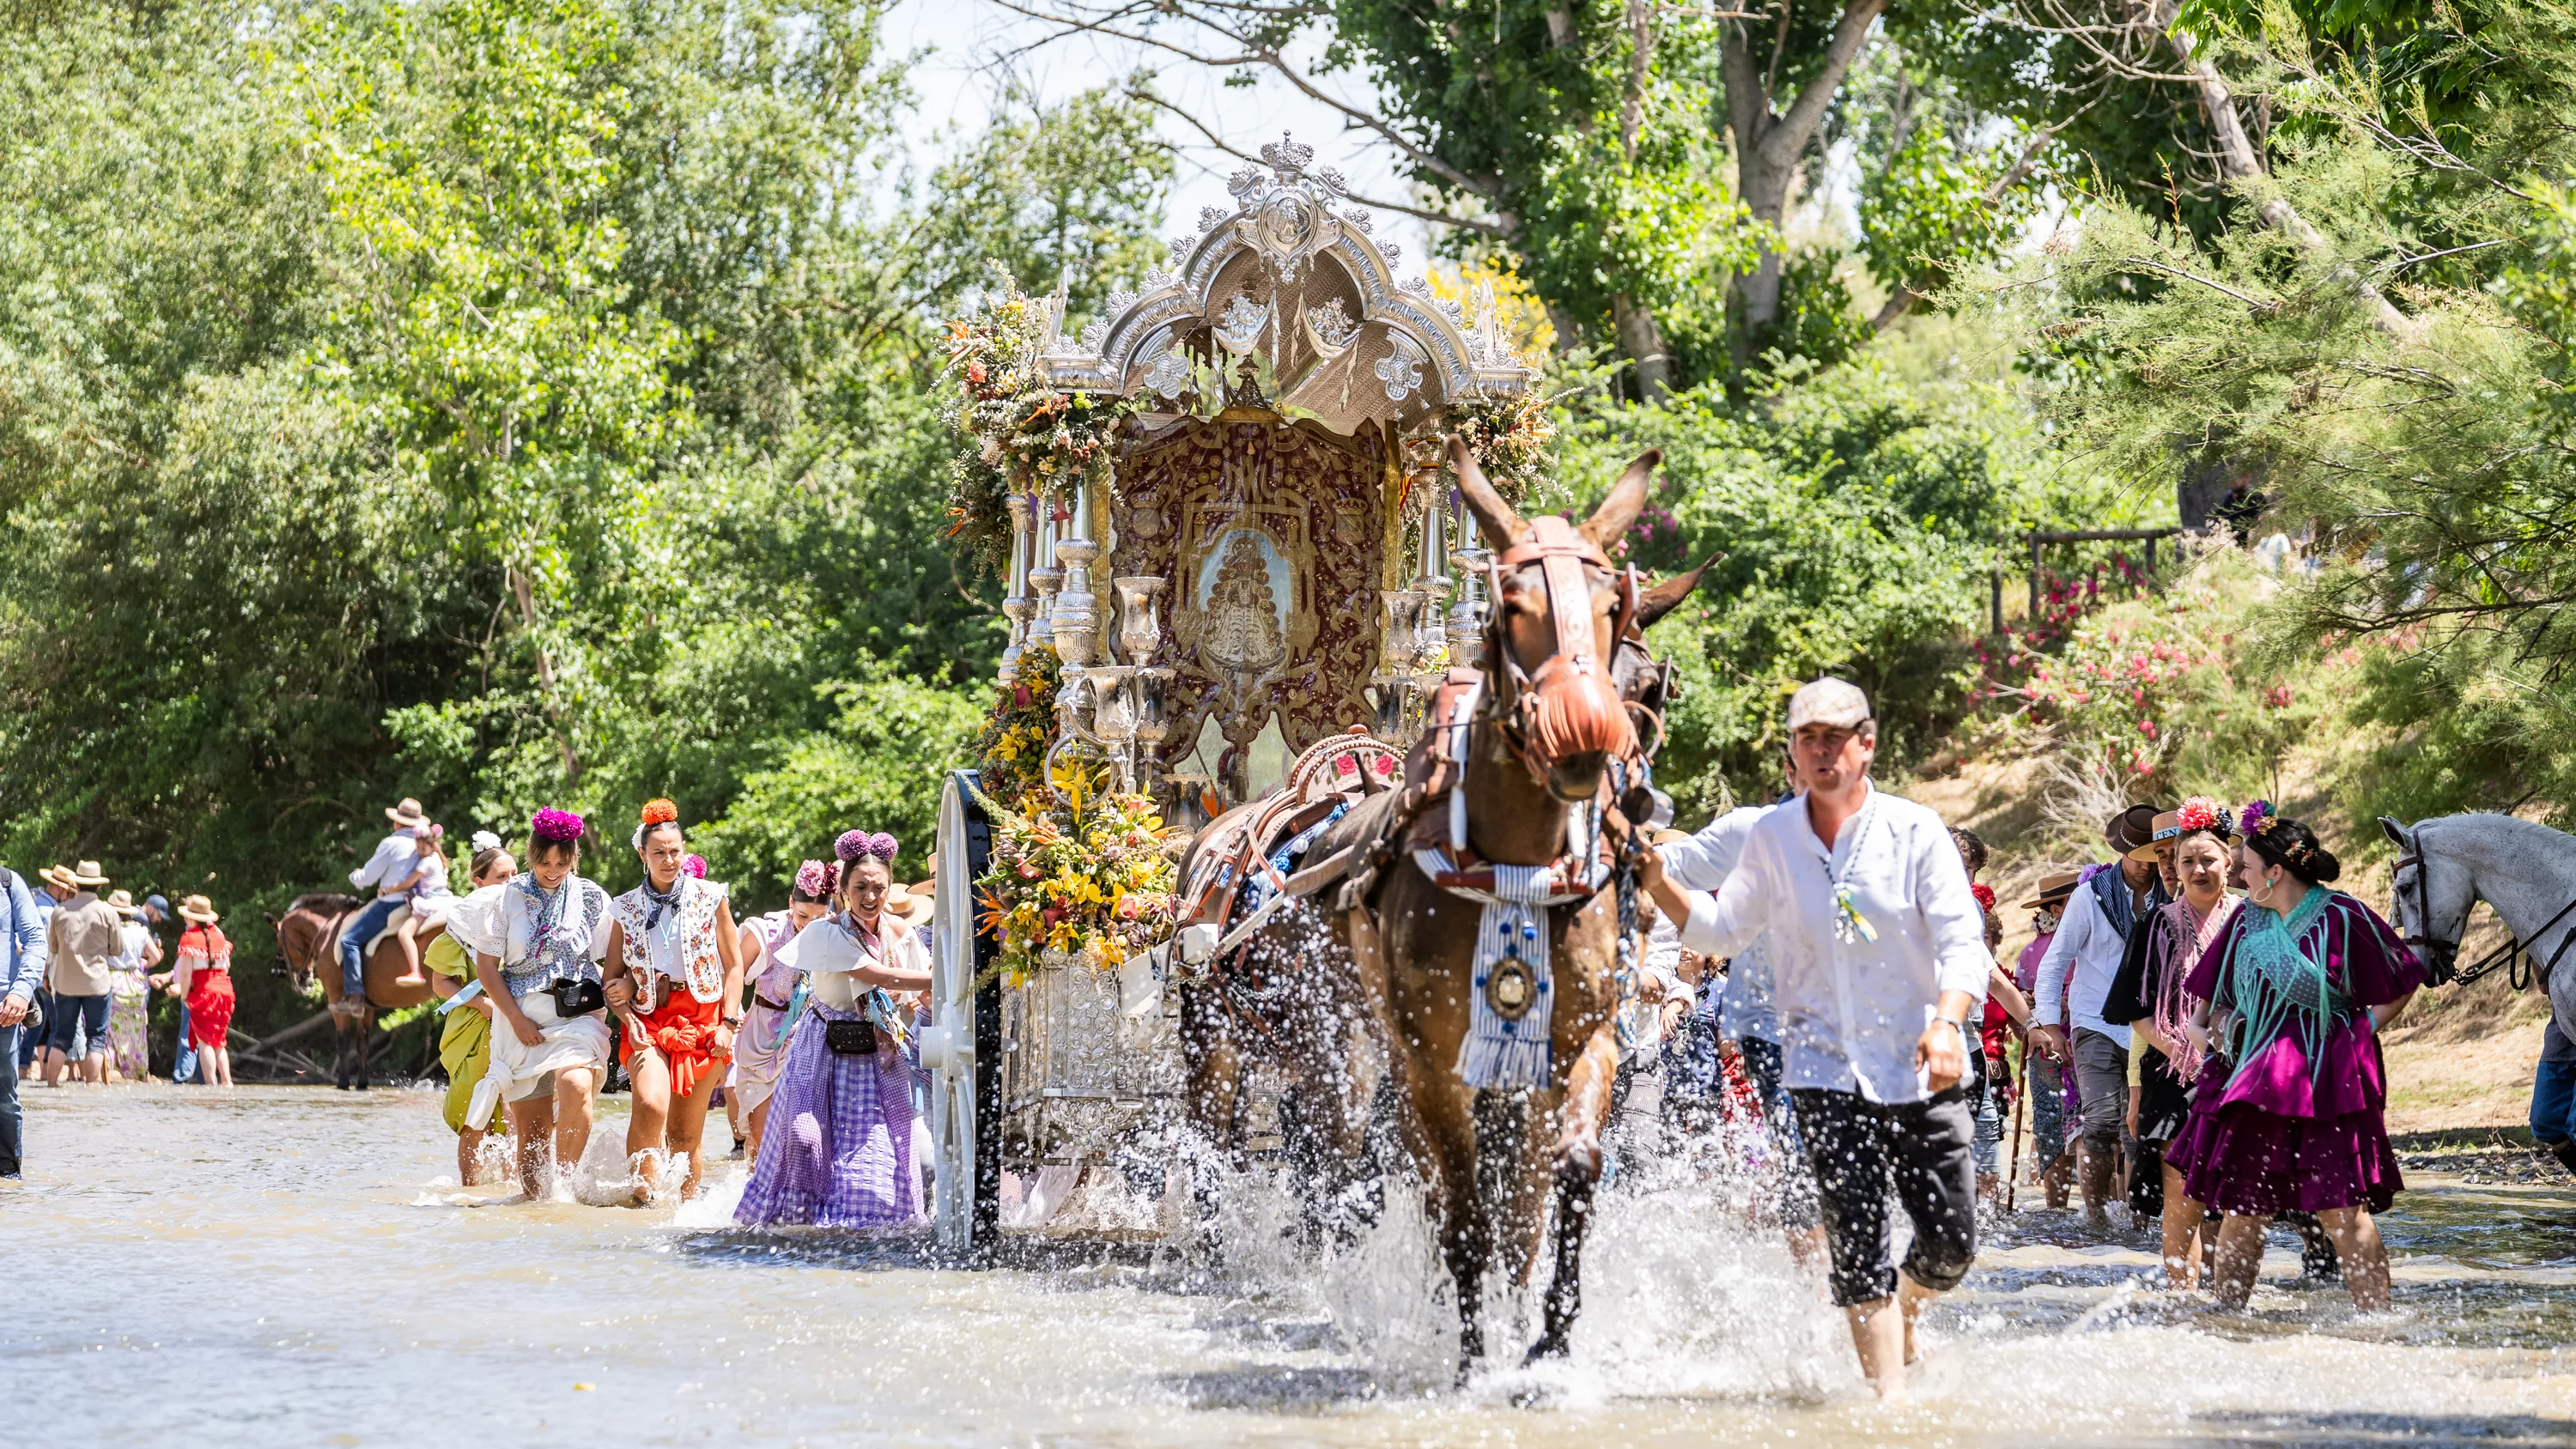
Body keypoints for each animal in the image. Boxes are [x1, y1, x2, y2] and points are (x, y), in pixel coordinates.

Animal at [276, 895, 433, 1091]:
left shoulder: (336, 1001)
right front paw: (362, 1083)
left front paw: (343, 1082)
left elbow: (343, 1043)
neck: (328, 931)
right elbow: (362, 1044)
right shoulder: (366, 1007)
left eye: (281, 945)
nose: (303, 983)